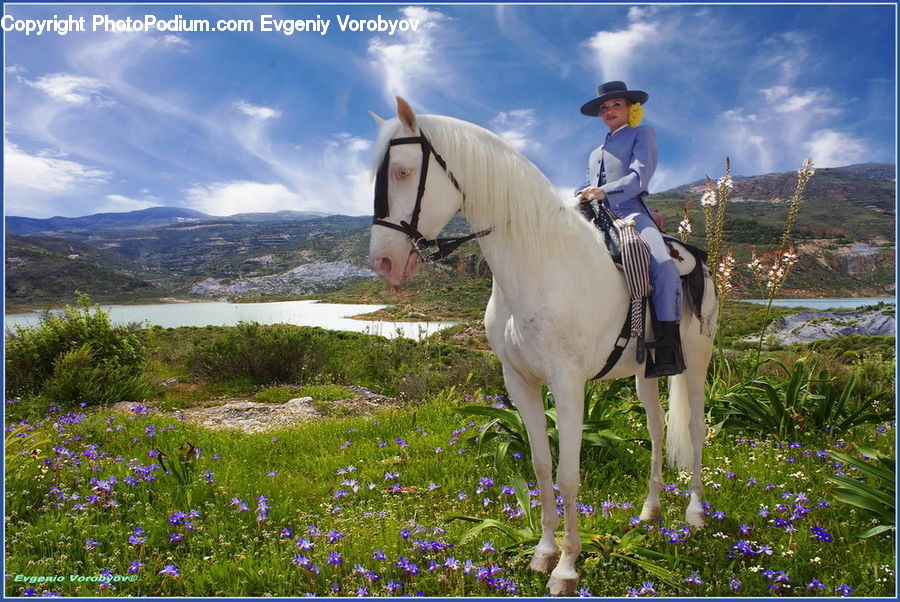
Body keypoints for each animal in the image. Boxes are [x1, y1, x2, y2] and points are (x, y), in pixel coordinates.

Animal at [368, 98, 717, 595]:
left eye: (401, 171)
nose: (382, 262)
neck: (539, 262)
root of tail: (696, 259)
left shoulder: (568, 386)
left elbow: (569, 476)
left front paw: (567, 568)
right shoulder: (520, 383)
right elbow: (540, 466)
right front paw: (543, 553)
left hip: (697, 364)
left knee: (694, 429)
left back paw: (694, 514)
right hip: (644, 375)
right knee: (655, 430)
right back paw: (649, 512)